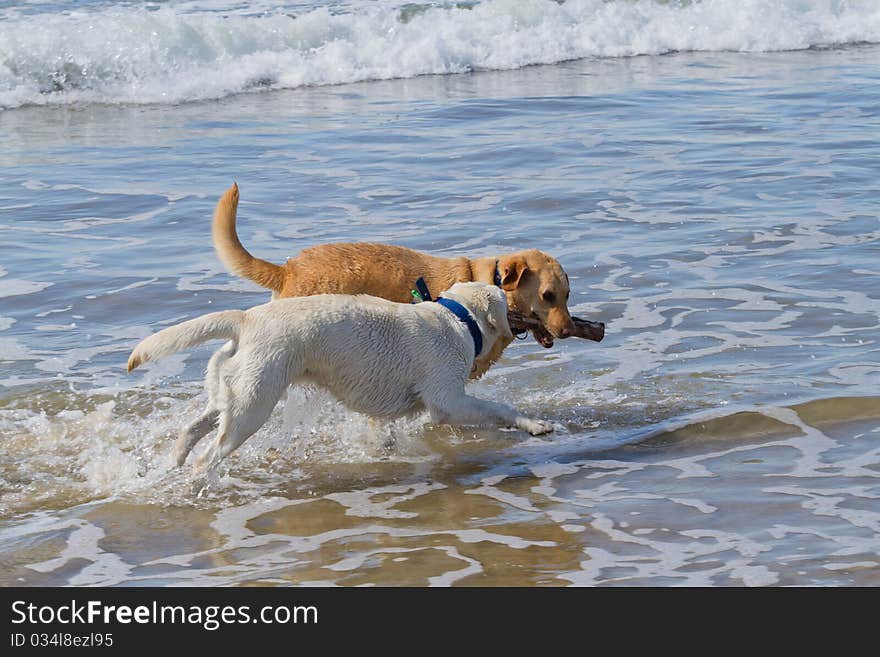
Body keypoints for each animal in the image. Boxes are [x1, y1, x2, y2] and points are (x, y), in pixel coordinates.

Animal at [125, 282, 552, 472]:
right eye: (507, 297)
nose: (524, 302)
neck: (457, 318)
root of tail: (246, 319)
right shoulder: (448, 400)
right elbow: (498, 408)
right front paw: (535, 425)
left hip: (232, 392)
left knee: (193, 428)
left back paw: (175, 461)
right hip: (253, 404)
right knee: (209, 455)